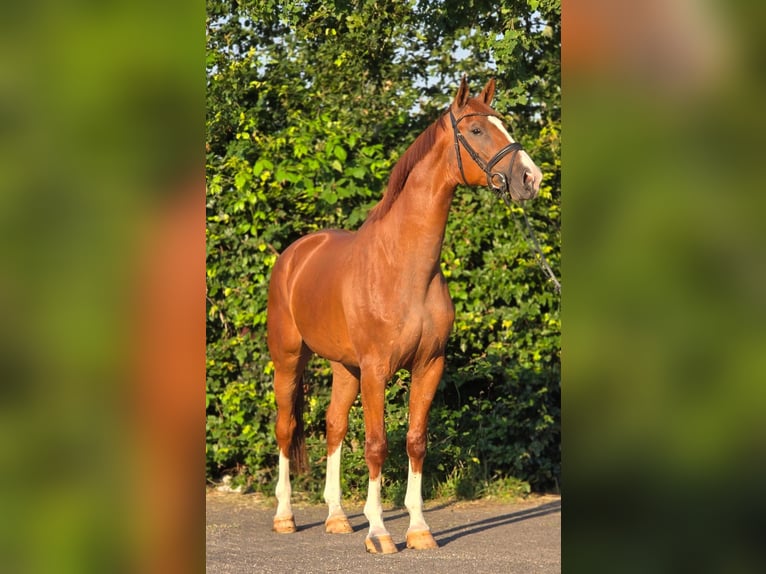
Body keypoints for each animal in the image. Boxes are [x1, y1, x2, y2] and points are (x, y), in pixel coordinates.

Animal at [266, 76, 543, 554]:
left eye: (503, 124)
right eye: (476, 131)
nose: (531, 178)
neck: (404, 266)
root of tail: (294, 254)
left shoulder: (429, 365)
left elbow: (415, 442)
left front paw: (418, 529)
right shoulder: (378, 369)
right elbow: (377, 445)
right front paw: (379, 532)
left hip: (345, 368)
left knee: (334, 425)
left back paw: (337, 517)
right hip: (288, 359)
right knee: (286, 429)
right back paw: (285, 517)